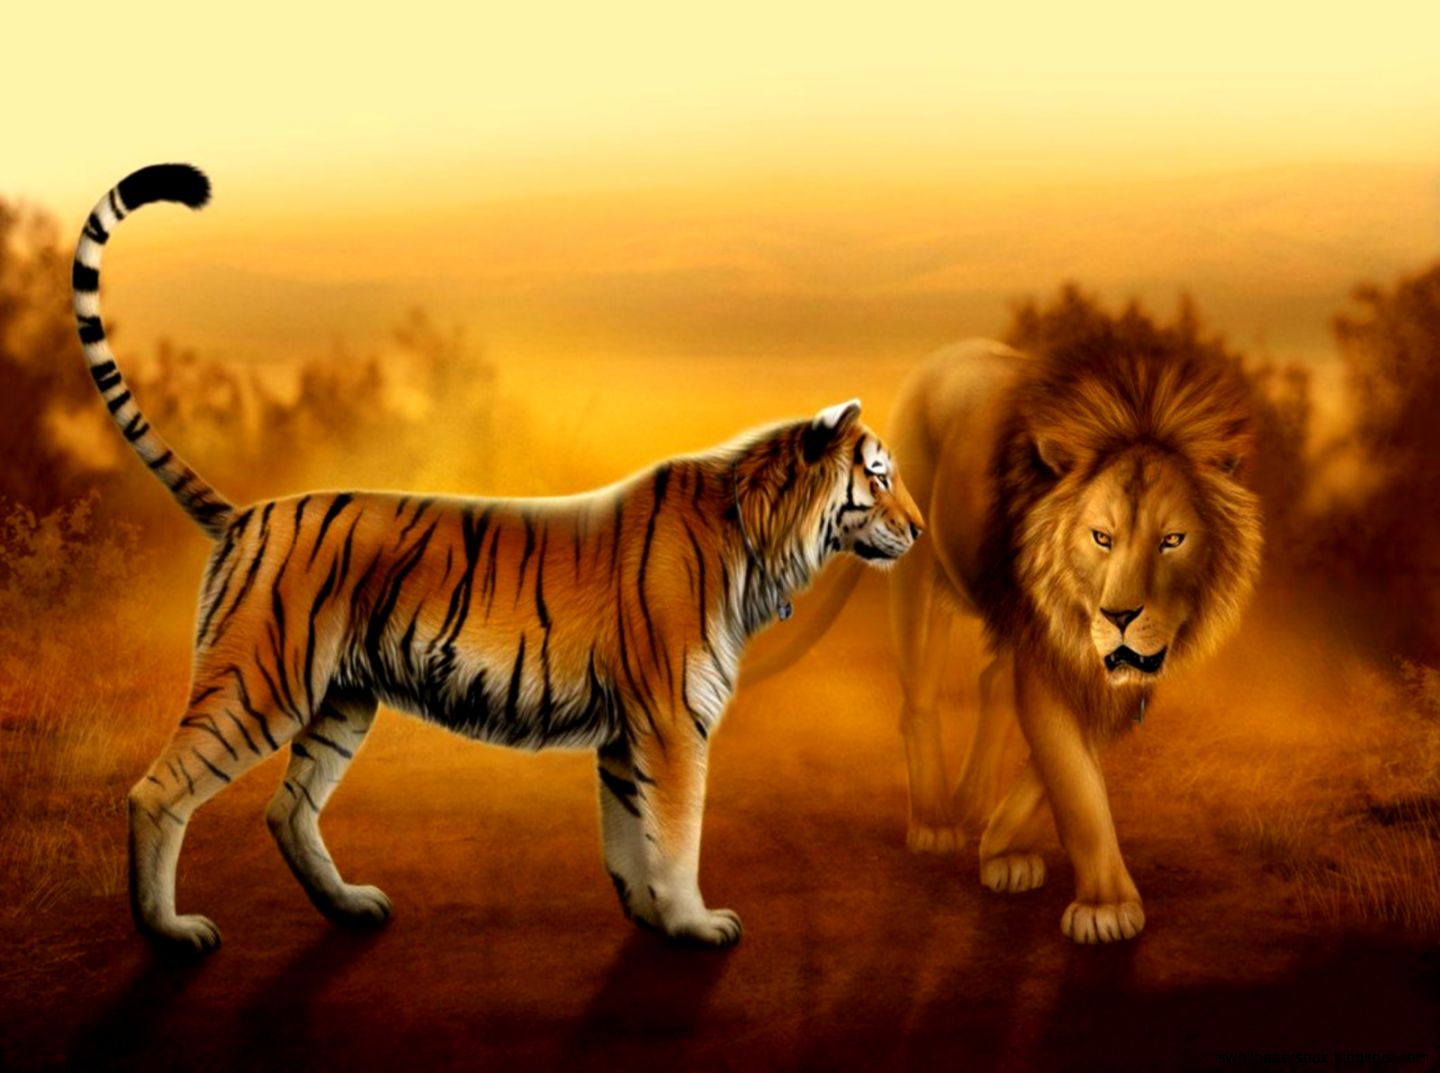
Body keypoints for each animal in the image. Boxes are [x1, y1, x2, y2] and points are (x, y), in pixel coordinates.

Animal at [71, 164, 925, 955]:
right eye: (880, 475)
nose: (920, 529)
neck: (760, 540)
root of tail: (245, 513)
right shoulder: (671, 722)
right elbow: (675, 834)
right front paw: (696, 923)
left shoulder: (627, 735)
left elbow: (630, 839)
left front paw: (652, 919)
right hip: (259, 682)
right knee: (156, 792)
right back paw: (168, 931)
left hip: (341, 700)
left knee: (287, 808)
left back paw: (349, 906)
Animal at [744, 336, 1263, 943]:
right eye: (1102, 538)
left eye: (1172, 540)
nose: (1119, 615)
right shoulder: (1046, 657)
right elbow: (1075, 784)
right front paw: (1104, 905)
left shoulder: (1120, 671)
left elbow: (1058, 761)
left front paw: (1001, 843)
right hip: (917, 566)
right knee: (919, 702)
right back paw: (937, 821)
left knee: (991, 679)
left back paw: (971, 804)